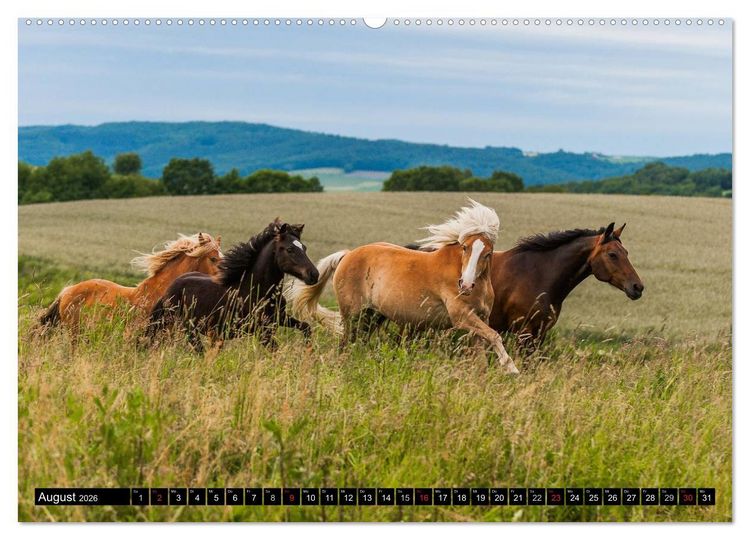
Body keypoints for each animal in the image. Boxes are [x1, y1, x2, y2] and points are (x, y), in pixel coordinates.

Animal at [145, 220, 319, 353]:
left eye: (304, 248)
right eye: (290, 249)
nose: (314, 274)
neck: (258, 290)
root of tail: (169, 289)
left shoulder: (280, 319)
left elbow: (306, 327)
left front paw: (308, 353)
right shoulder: (261, 330)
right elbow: (275, 350)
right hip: (187, 328)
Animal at [288, 200, 520, 374]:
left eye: (488, 253)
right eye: (464, 248)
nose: (466, 284)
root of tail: (348, 254)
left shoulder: (480, 319)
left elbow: (483, 351)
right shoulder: (462, 317)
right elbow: (494, 336)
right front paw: (511, 368)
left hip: (372, 316)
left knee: (358, 342)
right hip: (352, 314)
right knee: (346, 343)